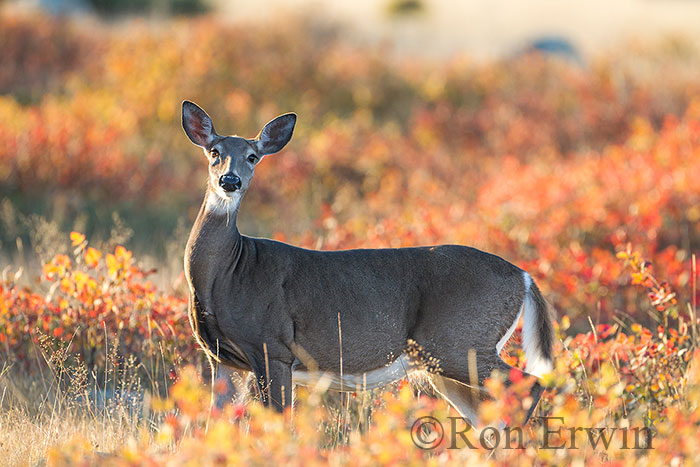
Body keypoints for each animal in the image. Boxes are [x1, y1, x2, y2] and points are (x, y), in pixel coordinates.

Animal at [183, 100, 556, 430]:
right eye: (214, 152)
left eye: (252, 156)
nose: (230, 181)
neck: (230, 273)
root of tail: (524, 277)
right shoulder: (222, 359)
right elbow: (214, 422)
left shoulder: (272, 347)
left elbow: (276, 420)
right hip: (445, 360)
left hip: (461, 342)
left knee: (529, 382)